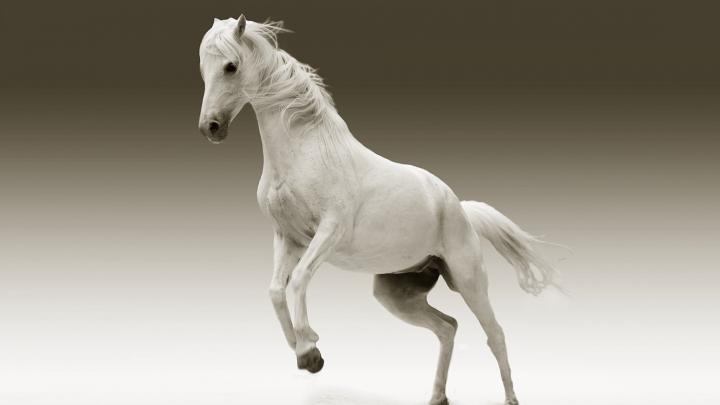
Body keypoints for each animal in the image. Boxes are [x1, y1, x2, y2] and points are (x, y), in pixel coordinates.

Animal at [197, 15, 560, 405]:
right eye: (203, 69)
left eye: (231, 66)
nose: (210, 127)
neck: (306, 151)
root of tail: (459, 208)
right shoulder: (288, 237)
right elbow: (276, 290)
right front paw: (305, 352)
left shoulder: (329, 231)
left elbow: (299, 280)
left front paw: (310, 351)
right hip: (396, 294)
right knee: (447, 328)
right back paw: (437, 396)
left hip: (468, 280)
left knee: (495, 334)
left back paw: (509, 398)